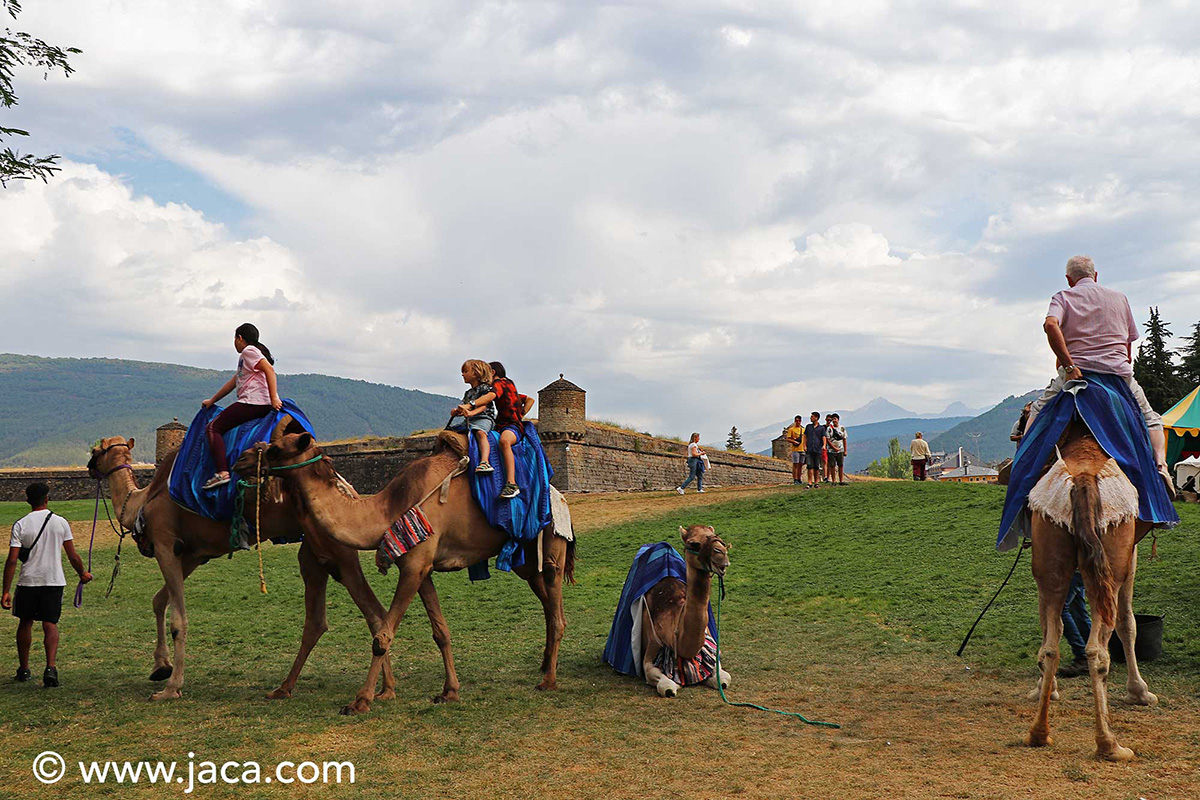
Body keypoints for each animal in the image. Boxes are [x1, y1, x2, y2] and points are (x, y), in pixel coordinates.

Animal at [90, 434, 398, 705]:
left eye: (96, 450)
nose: (90, 467)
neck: (141, 502)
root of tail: (347, 489)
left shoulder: (166, 544)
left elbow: (178, 620)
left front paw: (170, 689)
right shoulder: (191, 555)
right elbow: (158, 600)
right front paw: (160, 667)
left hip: (338, 552)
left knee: (373, 613)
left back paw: (375, 692)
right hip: (315, 552)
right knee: (323, 619)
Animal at [242, 431, 571, 719]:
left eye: (275, 449)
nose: (242, 459)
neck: (387, 510)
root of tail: (558, 495)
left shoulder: (415, 565)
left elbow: (382, 636)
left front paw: (360, 701)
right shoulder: (421, 569)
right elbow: (440, 631)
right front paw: (449, 691)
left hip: (552, 546)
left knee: (556, 607)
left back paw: (549, 680)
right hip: (525, 559)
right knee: (547, 602)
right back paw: (544, 665)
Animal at [638, 525, 729, 695]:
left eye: (716, 535)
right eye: (694, 543)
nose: (722, 553)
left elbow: (724, 678)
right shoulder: (651, 648)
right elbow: (666, 686)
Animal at [1027, 422, 1156, 762]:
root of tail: (1083, 480)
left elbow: (1048, 630)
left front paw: (1046, 689)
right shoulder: (1130, 557)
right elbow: (1128, 623)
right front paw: (1139, 691)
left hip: (1052, 562)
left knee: (1050, 647)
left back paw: (1039, 733)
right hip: (1111, 568)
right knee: (1098, 650)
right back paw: (1109, 744)